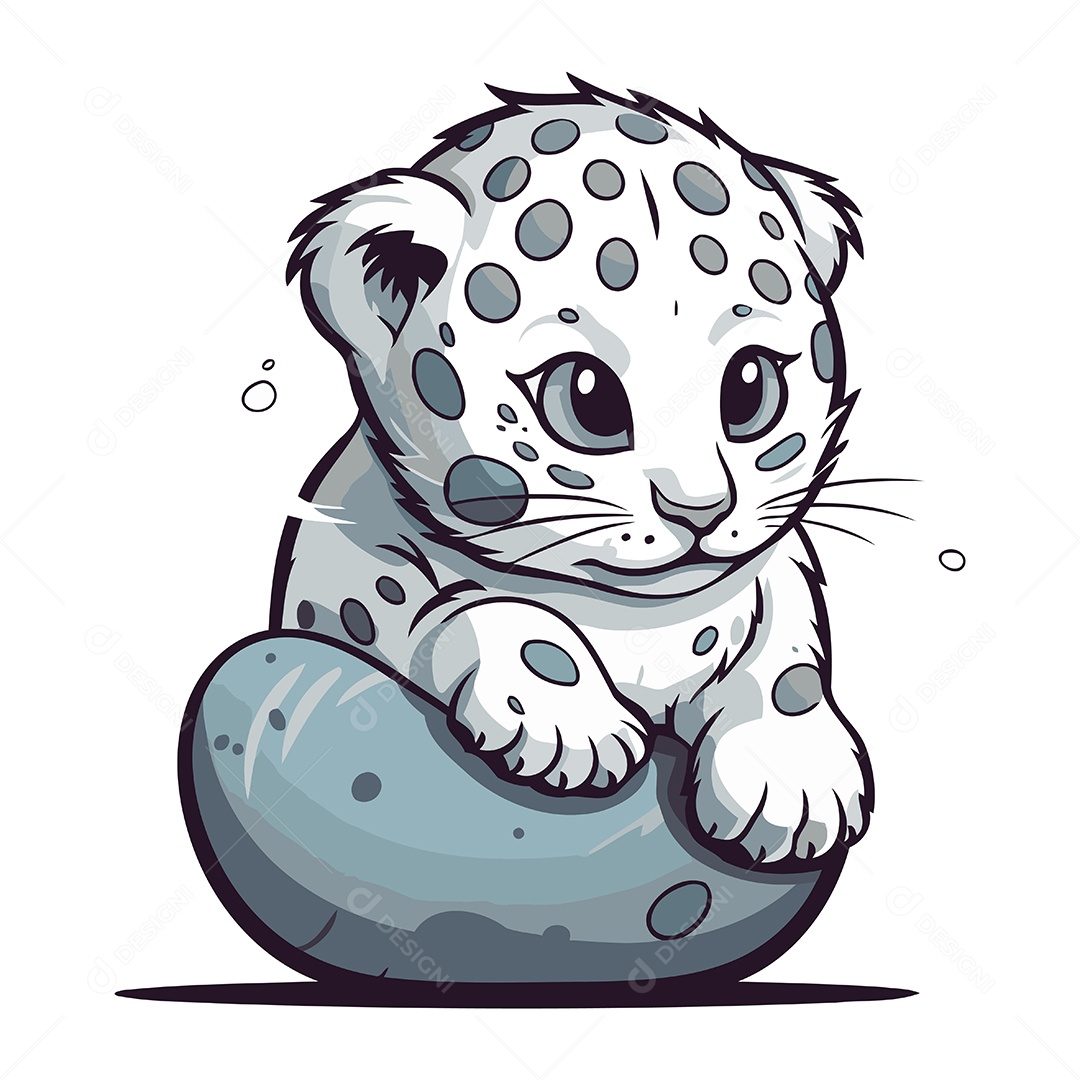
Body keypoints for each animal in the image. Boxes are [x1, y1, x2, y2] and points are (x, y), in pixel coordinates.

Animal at [276, 76, 873, 866]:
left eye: (751, 387)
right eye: (585, 397)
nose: (700, 509)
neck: (638, 621)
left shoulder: (779, 578)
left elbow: (785, 666)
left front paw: (789, 777)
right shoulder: (350, 575)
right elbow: (485, 609)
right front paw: (571, 723)